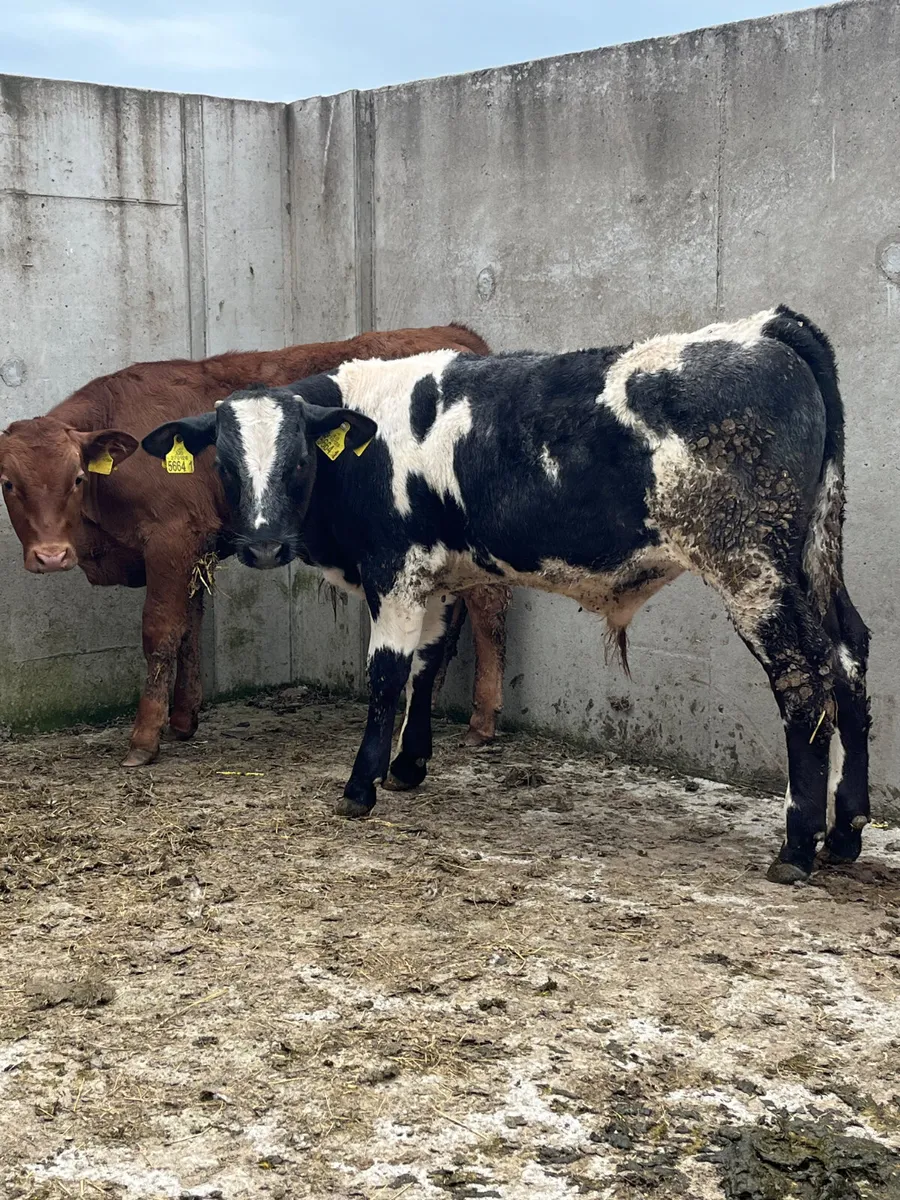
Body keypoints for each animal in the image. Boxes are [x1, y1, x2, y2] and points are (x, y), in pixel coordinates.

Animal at [0, 326, 510, 766]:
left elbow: (161, 634)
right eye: (7, 484)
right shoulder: (196, 549)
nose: (51, 556)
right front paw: (182, 719)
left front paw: (144, 738)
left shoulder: (170, 539)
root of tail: (457, 335)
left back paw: (482, 721)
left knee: (488, 609)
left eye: (76, 478)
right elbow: (189, 631)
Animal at [143, 306, 870, 884]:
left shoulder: (395, 571)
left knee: (804, 679)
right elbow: (430, 665)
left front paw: (360, 785)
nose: (264, 545)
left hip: (751, 568)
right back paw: (845, 832)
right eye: (226, 465)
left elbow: (387, 676)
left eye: (298, 462)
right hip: (814, 555)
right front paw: (408, 766)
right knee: (849, 656)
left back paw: (797, 847)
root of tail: (765, 327)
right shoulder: (442, 577)